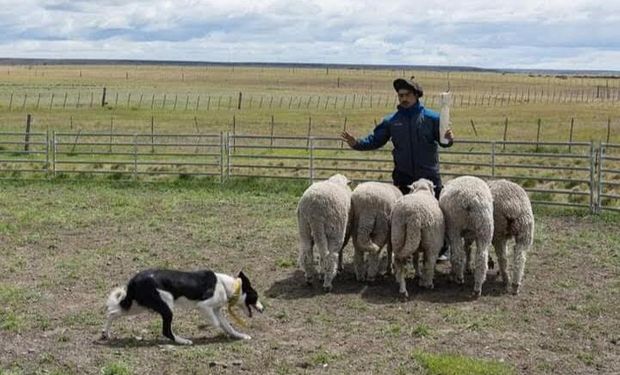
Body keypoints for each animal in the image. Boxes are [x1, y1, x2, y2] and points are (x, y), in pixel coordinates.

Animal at [100, 268, 264, 346]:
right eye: (256, 296)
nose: (263, 309)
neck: (227, 286)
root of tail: (134, 279)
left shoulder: (216, 310)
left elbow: (228, 326)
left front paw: (239, 336)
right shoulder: (204, 306)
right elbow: (217, 323)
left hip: (137, 306)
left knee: (112, 313)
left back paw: (105, 333)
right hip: (166, 306)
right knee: (166, 331)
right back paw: (183, 341)